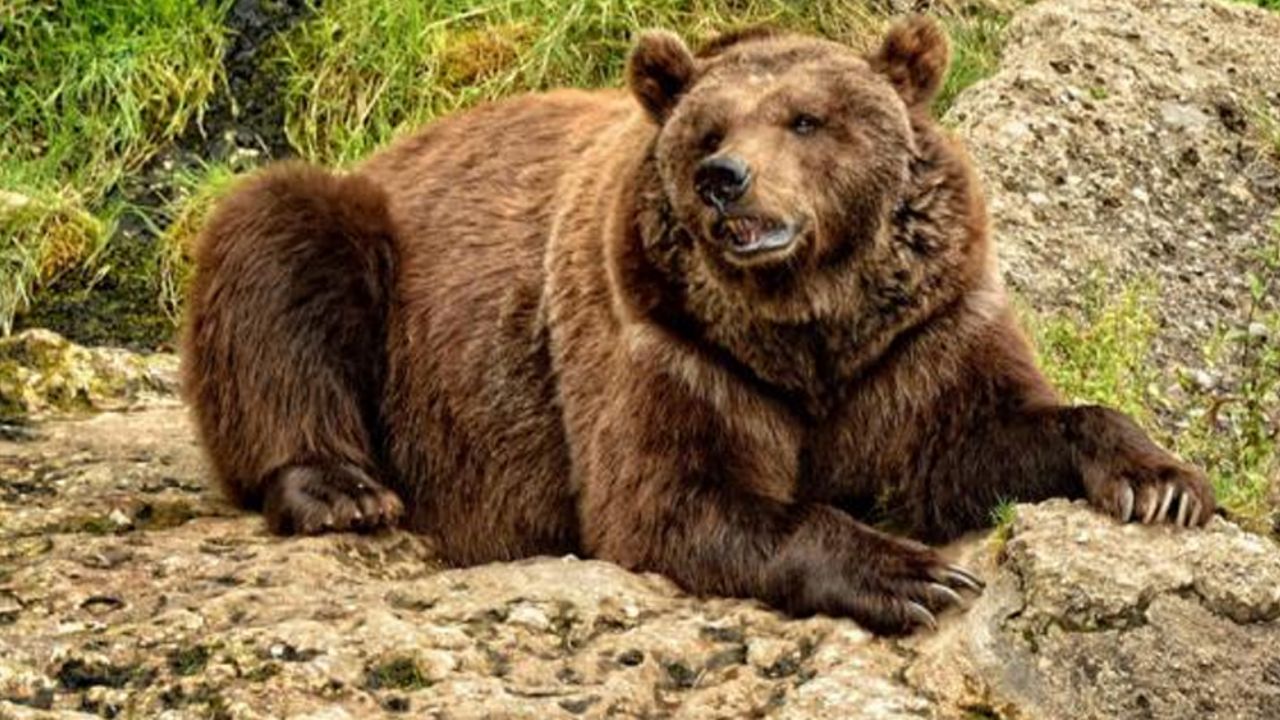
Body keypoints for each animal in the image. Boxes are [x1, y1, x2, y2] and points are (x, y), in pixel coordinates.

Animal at [182, 16, 1215, 634]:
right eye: (709, 132)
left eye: (807, 119)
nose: (726, 181)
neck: (806, 321)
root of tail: (399, 145)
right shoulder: (668, 342)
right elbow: (675, 496)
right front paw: (910, 574)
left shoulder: (919, 334)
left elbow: (976, 434)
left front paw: (1159, 482)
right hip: (376, 253)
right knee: (274, 241)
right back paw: (341, 489)